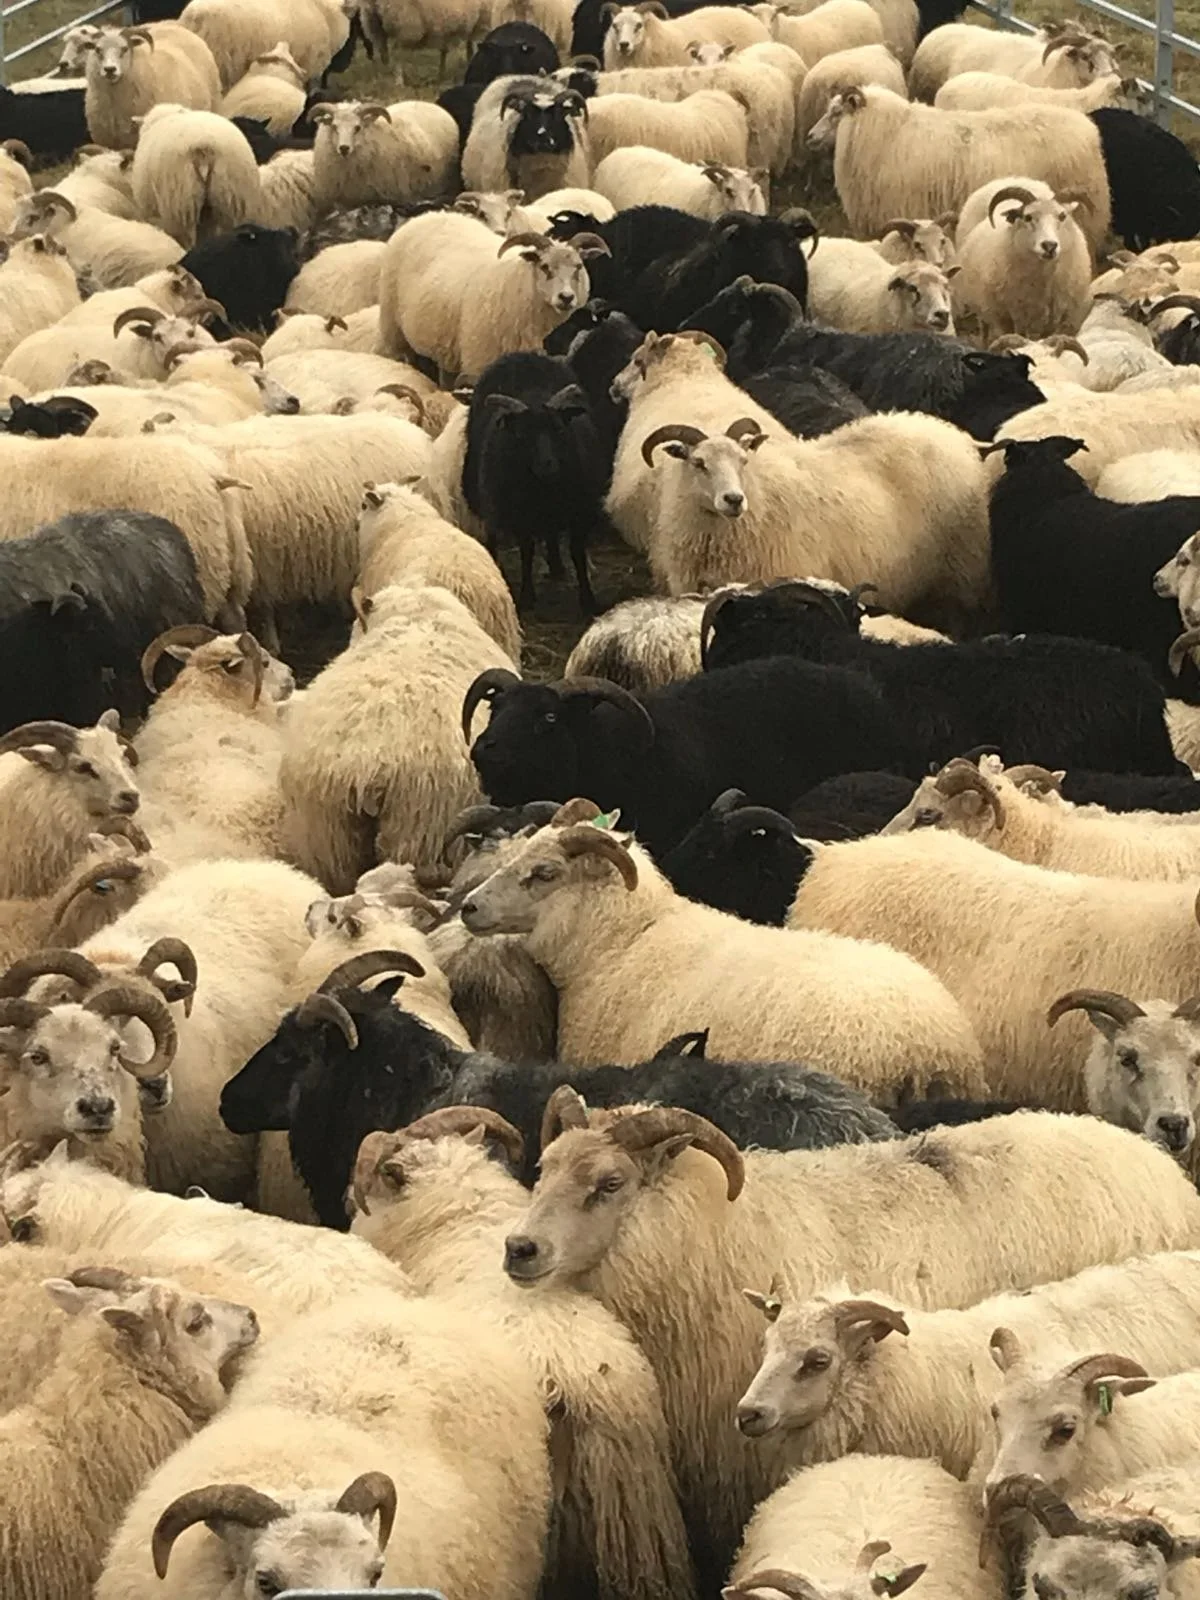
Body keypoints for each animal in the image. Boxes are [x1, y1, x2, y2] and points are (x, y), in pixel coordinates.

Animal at [379, 211, 610, 382]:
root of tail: (425, 216)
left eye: (578, 267)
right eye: (545, 267)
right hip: (396, 336)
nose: (566, 297)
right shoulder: (478, 363)